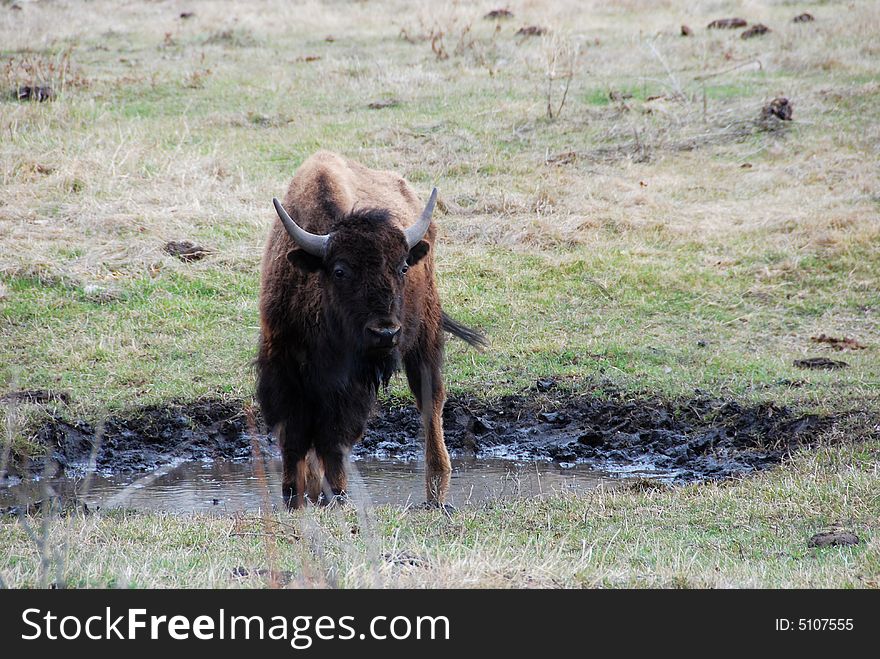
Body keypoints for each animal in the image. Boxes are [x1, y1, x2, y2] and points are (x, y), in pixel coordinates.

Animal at [254, 153, 488, 510]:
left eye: (402, 267)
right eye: (340, 271)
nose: (385, 333)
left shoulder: (349, 384)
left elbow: (333, 437)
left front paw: (338, 493)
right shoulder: (283, 365)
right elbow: (294, 434)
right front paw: (294, 493)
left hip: (425, 336)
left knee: (430, 401)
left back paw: (437, 481)